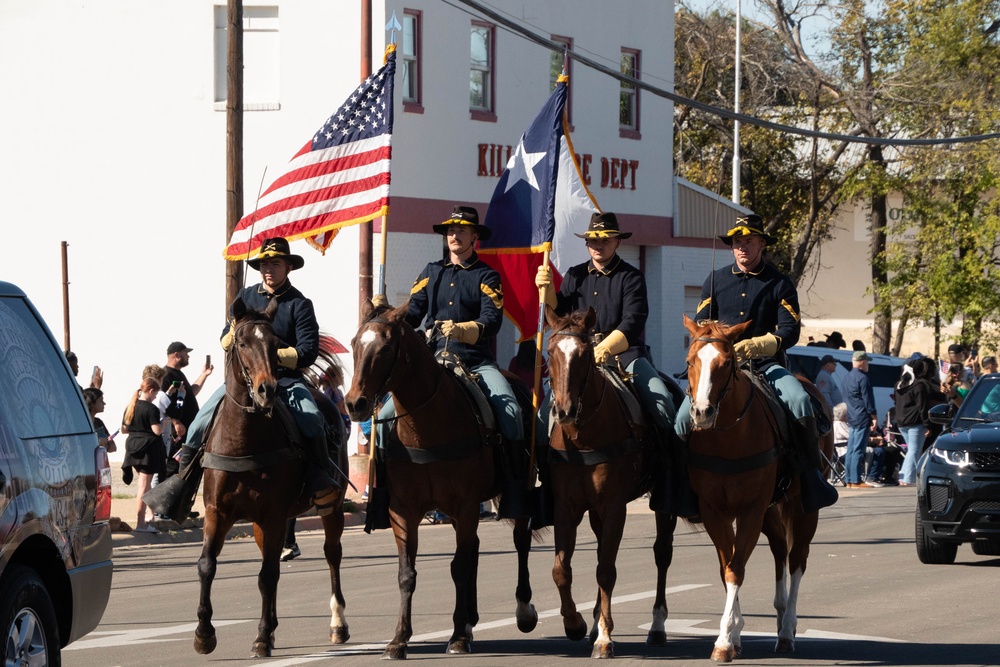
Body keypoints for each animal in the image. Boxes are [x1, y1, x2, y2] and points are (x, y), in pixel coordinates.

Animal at [194, 300, 352, 660]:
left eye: (275, 344)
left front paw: (262, 637)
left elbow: (267, 575)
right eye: (240, 343)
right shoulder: (217, 513)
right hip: (259, 525)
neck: (244, 441)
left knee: (332, 554)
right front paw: (204, 633)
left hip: (331, 507)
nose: (268, 390)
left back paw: (338, 624)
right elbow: (207, 565)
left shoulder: (276, 515)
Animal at [348, 300, 544, 660]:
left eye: (385, 346)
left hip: (516, 492)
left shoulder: (465, 506)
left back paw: (521, 611)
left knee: (520, 541)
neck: (425, 426)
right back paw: (469, 619)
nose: (355, 404)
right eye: (355, 344)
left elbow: (459, 567)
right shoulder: (403, 511)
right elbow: (407, 573)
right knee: (476, 547)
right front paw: (399, 639)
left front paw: (457, 636)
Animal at [548, 308, 680, 656]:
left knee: (662, 553)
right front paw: (576, 624)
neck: (582, 436)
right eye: (550, 352)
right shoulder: (565, 508)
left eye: (584, 355)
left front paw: (605, 637)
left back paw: (657, 626)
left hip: (663, 502)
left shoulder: (614, 507)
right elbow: (561, 570)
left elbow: (606, 570)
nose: (564, 411)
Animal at [680, 318, 828, 664]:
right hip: (772, 510)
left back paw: (787, 630)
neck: (728, 438)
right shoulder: (714, 512)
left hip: (802, 508)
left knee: (797, 558)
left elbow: (736, 570)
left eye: (726, 363)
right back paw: (780, 614)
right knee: (779, 549)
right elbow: (727, 568)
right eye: (690, 362)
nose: (702, 413)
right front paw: (734, 636)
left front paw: (724, 640)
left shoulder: (750, 510)